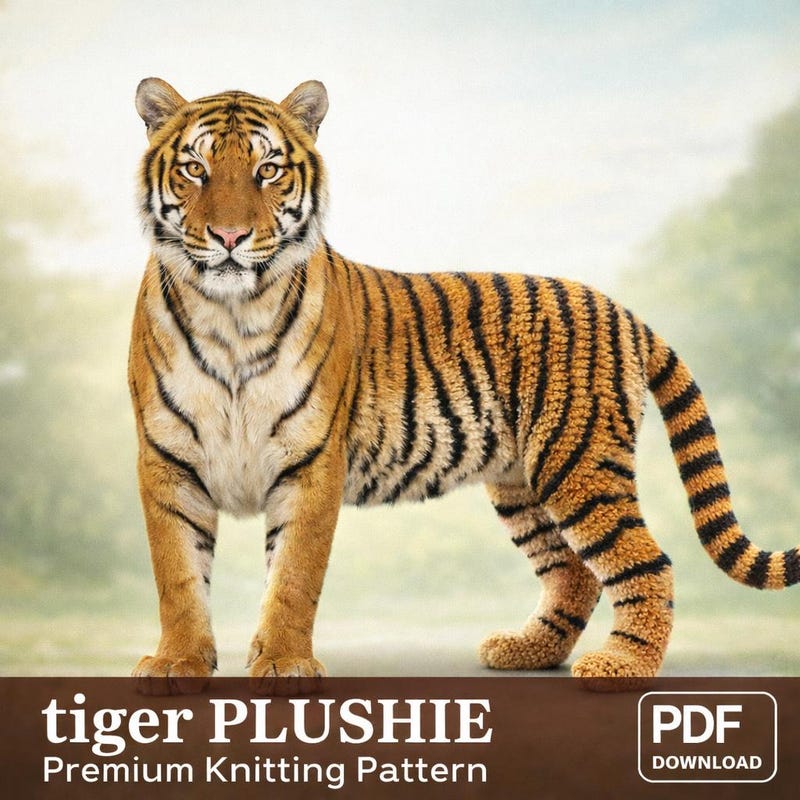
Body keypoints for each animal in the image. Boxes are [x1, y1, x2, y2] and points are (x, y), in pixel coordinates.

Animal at [129, 77, 799, 691]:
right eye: (194, 169)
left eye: (268, 170)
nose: (230, 238)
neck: (231, 313)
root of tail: (620, 309)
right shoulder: (168, 460)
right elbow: (177, 576)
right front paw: (177, 664)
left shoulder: (312, 462)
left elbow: (293, 576)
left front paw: (284, 664)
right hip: (522, 482)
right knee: (574, 572)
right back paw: (525, 651)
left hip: (577, 460)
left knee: (646, 563)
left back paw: (622, 665)